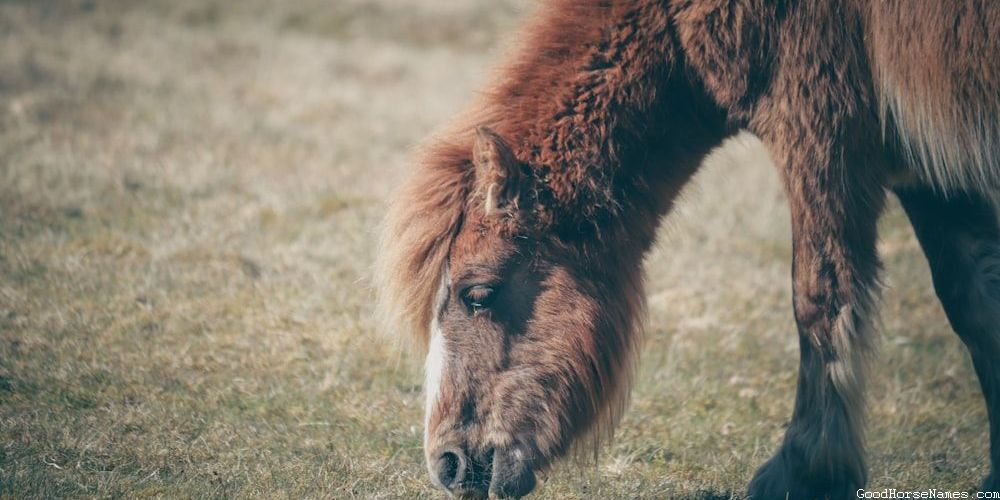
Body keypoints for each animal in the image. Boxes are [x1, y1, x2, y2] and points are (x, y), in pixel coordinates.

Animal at [374, 0, 1000, 497]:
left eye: (478, 294)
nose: (448, 464)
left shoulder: (823, 135)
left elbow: (820, 300)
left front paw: (806, 472)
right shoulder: (926, 159)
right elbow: (974, 298)